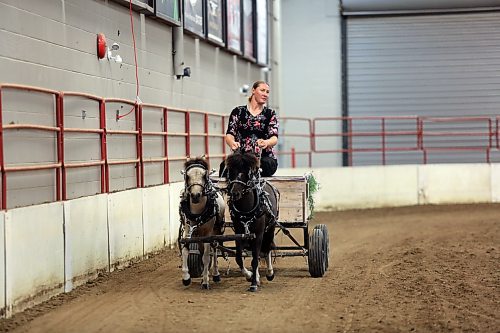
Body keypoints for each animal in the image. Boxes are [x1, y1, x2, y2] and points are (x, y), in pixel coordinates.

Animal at [179, 156, 226, 288]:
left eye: (204, 175)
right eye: (187, 176)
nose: (195, 195)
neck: (198, 212)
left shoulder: (208, 234)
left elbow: (206, 256)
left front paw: (205, 281)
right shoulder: (188, 230)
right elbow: (185, 251)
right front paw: (186, 277)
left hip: (216, 231)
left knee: (214, 250)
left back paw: (215, 274)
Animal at [227, 150, 282, 290]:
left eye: (247, 173)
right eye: (231, 171)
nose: (235, 193)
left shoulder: (259, 233)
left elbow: (256, 259)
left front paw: (253, 284)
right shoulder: (239, 233)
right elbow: (239, 258)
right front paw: (250, 276)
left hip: (270, 228)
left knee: (267, 249)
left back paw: (269, 273)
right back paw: (256, 276)